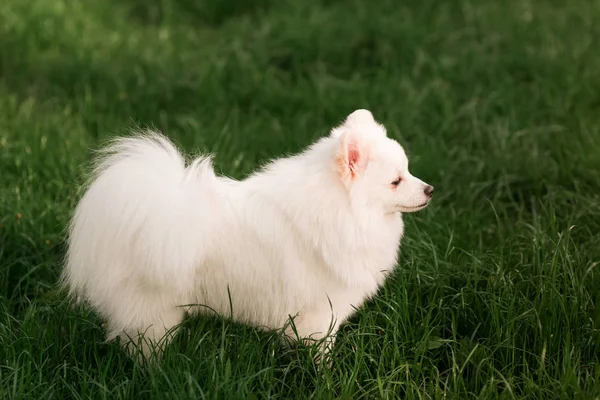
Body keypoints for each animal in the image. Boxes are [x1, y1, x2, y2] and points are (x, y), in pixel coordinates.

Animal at [63, 110, 434, 360]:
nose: (430, 189)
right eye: (396, 181)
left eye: (408, 170)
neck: (344, 211)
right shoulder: (321, 314)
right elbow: (321, 352)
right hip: (155, 312)